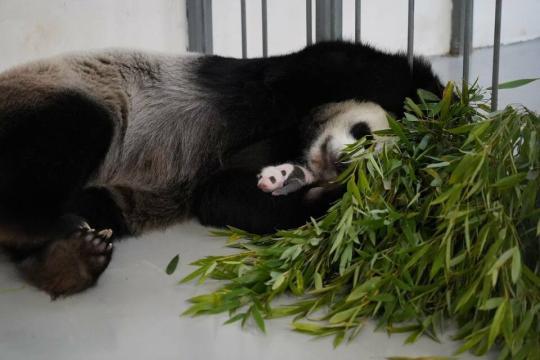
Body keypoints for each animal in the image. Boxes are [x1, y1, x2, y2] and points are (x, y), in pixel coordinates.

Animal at [0, 40, 440, 296]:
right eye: (363, 134)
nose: (344, 161)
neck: (302, 137)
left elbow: (221, 195)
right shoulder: (288, 87)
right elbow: (345, 65)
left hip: (119, 194)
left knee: (98, 204)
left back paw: (72, 260)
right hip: (60, 93)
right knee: (76, 127)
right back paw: (43, 227)